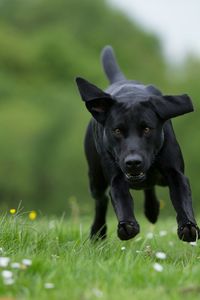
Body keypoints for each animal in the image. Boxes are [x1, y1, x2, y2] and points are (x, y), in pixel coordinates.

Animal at [76, 45, 199, 241]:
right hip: (95, 177)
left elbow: (182, 197)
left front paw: (188, 226)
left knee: (150, 186)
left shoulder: (175, 172)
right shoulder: (116, 175)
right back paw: (98, 232)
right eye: (117, 131)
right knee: (101, 200)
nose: (133, 162)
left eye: (147, 129)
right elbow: (121, 198)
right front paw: (127, 225)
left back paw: (152, 209)